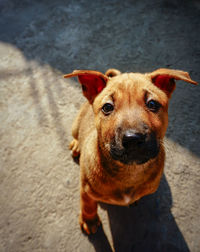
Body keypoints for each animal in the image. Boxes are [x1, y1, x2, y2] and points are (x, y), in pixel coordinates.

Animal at [63, 67, 197, 234]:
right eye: (107, 107)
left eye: (152, 103)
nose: (133, 139)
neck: (129, 171)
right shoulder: (86, 190)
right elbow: (87, 205)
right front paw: (89, 221)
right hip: (75, 126)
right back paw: (76, 145)